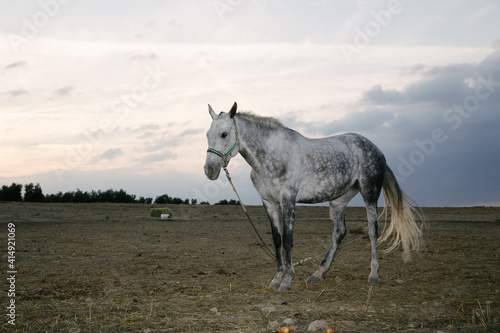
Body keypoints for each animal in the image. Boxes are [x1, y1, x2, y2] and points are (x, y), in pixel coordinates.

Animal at [203, 102, 422, 290]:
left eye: (224, 134)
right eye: (207, 134)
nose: (209, 170)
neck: (272, 156)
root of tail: (377, 149)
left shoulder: (288, 200)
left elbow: (288, 240)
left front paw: (287, 280)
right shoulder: (269, 203)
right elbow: (277, 240)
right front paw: (276, 279)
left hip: (370, 193)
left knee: (372, 230)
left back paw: (373, 274)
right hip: (338, 200)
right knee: (339, 233)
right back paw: (318, 273)